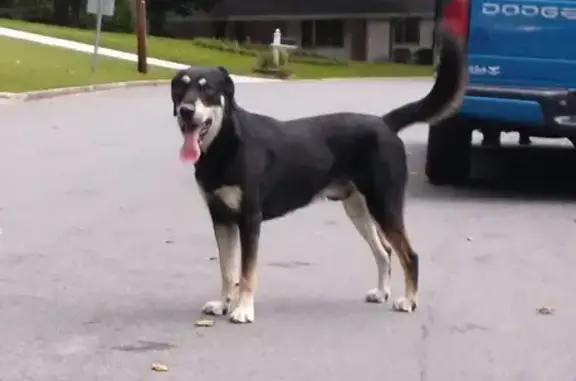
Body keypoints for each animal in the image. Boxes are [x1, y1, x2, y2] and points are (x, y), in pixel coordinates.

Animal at [171, 28, 468, 322]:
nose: (185, 111)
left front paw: (243, 309)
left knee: (409, 255)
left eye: (208, 89)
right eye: (181, 87)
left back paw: (408, 301)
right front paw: (222, 304)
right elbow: (227, 270)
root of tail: (384, 123)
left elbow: (246, 273)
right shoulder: (221, 218)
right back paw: (382, 292)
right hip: (358, 208)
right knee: (384, 251)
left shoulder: (249, 219)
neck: (225, 143)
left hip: (384, 204)